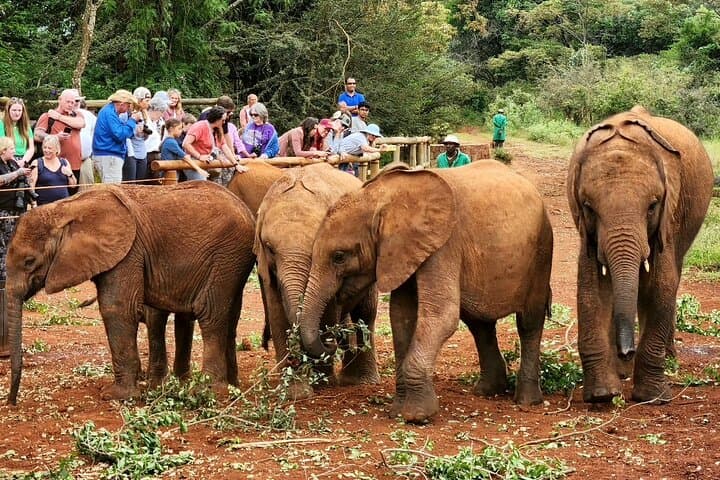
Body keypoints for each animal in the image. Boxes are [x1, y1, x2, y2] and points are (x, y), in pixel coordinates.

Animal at [7, 182, 256, 404]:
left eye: (29, 262)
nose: (11, 402)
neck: (66, 208)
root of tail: (247, 210)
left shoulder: (128, 253)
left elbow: (117, 308)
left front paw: (116, 396)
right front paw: (151, 388)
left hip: (226, 256)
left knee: (210, 314)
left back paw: (208, 393)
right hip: (232, 262)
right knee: (227, 318)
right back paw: (229, 387)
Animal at [254, 163, 379, 399]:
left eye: (314, 247)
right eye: (270, 248)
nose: (333, 342)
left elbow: (328, 312)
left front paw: (323, 383)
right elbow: (277, 314)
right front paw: (295, 393)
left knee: (366, 313)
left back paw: (359, 380)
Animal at [299, 160, 554, 423]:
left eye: (339, 257)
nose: (333, 340)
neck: (381, 197)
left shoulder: (443, 245)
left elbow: (441, 314)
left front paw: (417, 416)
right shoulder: (404, 251)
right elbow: (401, 316)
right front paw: (398, 412)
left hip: (542, 250)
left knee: (528, 323)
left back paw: (526, 400)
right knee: (479, 324)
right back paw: (487, 391)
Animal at [567, 106, 714, 404]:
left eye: (652, 206)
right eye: (588, 208)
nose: (627, 351)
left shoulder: (669, 217)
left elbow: (661, 286)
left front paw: (653, 397)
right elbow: (590, 288)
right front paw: (603, 394)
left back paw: (667, 359)